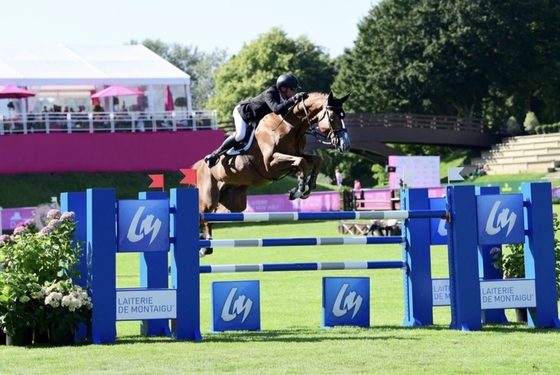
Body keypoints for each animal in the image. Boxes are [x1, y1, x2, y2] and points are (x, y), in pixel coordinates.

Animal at [192, 92, 350, 254]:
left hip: (234, 202)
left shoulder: (294, 157)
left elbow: (314, 160)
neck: (290, 126)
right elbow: (301, 163)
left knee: (213, 217)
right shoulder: (270, 164)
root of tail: (199, 166)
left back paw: (205, 244)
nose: (345, 145)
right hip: (208, 200)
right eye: (332, 118)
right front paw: (300, 189)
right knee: (203, 214)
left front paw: (305, 188)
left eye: (343, 116)